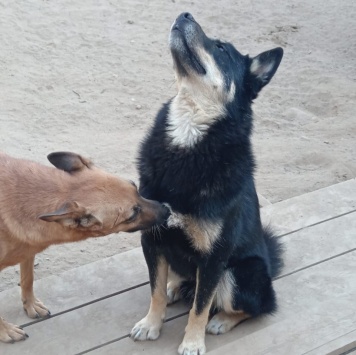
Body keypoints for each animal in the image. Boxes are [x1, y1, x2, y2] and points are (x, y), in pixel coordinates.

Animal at [0, 151, 170, 344]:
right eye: (132, 215)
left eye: (134, 186)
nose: (167, 210)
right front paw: (5, 330)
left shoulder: (28, 251)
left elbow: (28, 279)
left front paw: (30, 304)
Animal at [131, 12, 284, 354]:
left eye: (222, 49)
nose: (184, 14)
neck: (189, 137)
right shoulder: (153, 239)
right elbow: (155, 290)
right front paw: (151, 324)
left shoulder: (215, 258)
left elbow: (200, 306)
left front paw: (192, 342)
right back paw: (177, 285)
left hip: (239, 274)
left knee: (256, 306)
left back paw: (222, 321)